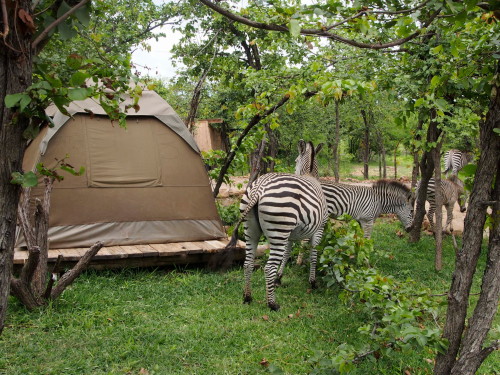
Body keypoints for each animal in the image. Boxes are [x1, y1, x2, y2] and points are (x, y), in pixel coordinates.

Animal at [226, 141, 328, 312]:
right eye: (295, 161)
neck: (310, 176)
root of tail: (259, 187)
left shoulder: (291, 234)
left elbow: (286, 254)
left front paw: (279, 279)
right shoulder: (318, 229)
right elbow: (314, 255)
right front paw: (313, 282)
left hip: (251, 230)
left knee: (248, 263)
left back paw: (247, 297)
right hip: (279, 230)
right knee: (268, 268)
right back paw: (272, 304)